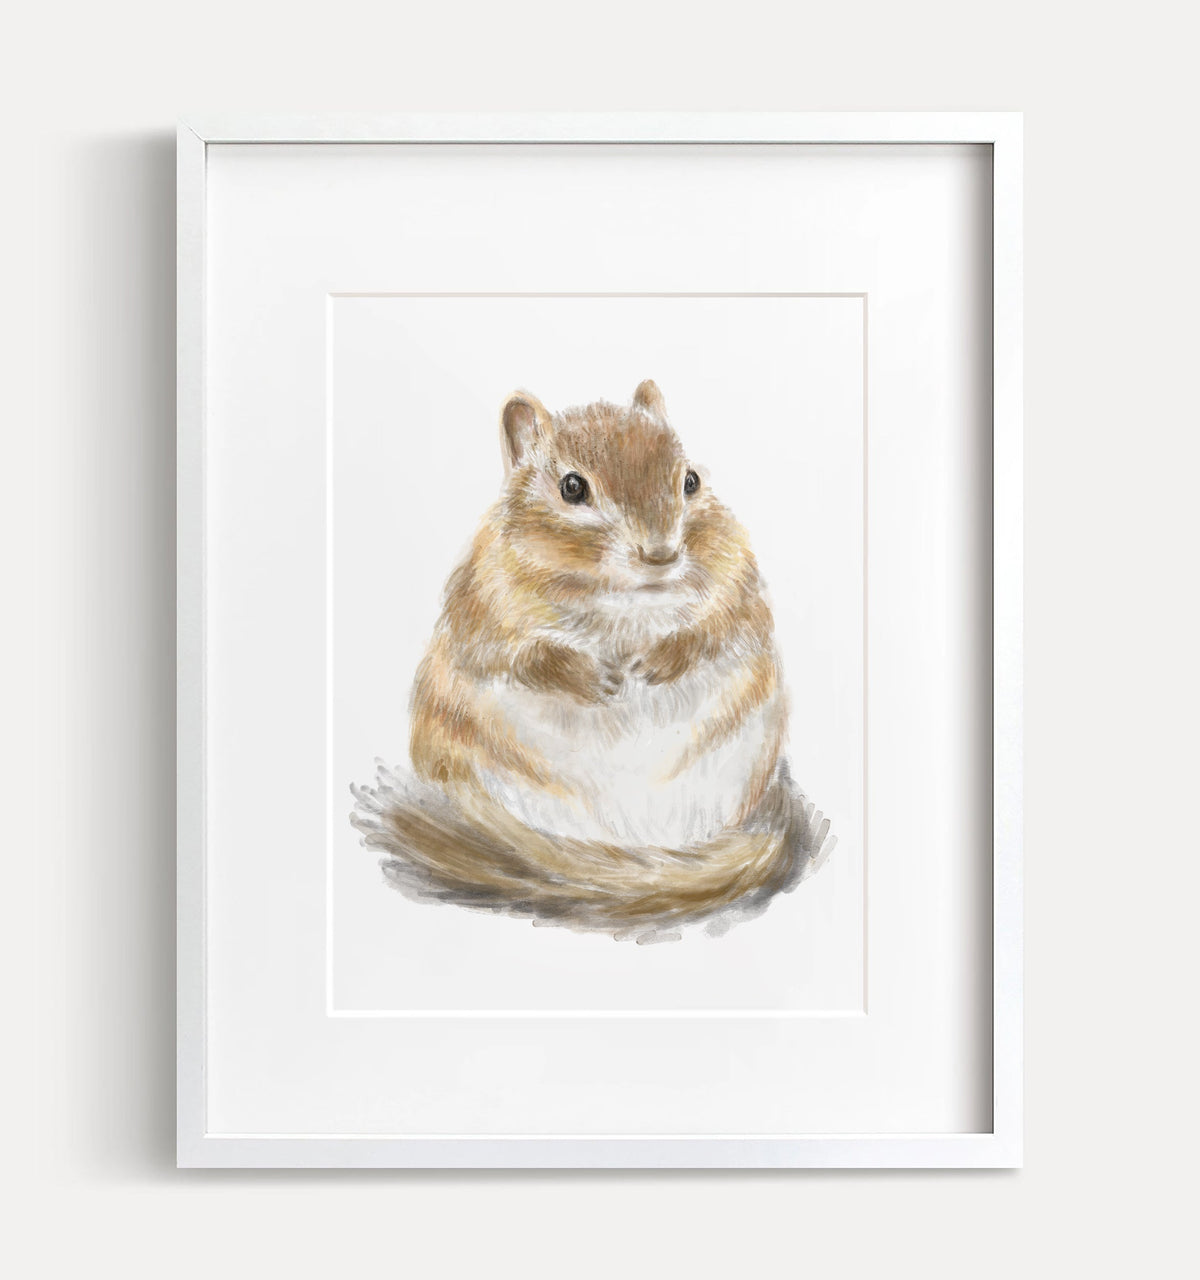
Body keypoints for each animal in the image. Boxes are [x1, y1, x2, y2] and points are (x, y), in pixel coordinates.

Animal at [352, 381, 830, 934]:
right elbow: (525, 657)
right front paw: (593, 677)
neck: (623, 599)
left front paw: (657, 661)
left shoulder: (738, 588)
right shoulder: (486, 611)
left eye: (690, 481)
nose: (661, 555)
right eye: (572, 488)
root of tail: (629, 845)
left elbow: (716, 629)